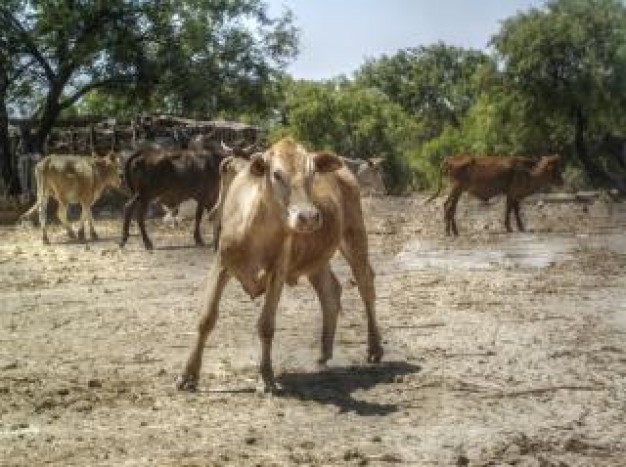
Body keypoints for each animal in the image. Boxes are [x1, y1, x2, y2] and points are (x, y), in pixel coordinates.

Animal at [174, 138, 380, 394]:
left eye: (312, 173)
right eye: (276, 174)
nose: (308, 217)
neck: (256, 230)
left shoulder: (278, 271)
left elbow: (266, 325)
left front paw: (266, 377)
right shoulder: (221, 264)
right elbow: (206, 319)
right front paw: (188, 375)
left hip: (354, 236)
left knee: (365, 284)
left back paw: (374, 348)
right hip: (317, 257)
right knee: (330, 291)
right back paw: (323, 353)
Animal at [426, 155, 564, 236]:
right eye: (555, 169)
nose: (562, 181)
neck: (526, 174)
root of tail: (449, 159)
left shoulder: (513, 195)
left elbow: (515, 210)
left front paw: (520, 227)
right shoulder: (512, 193)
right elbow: (510, 209)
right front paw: (510, 227)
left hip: (457, 190)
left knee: (449, 206)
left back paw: (453, 231)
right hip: (457, 189)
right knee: (449, 206)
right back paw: (450, 232)